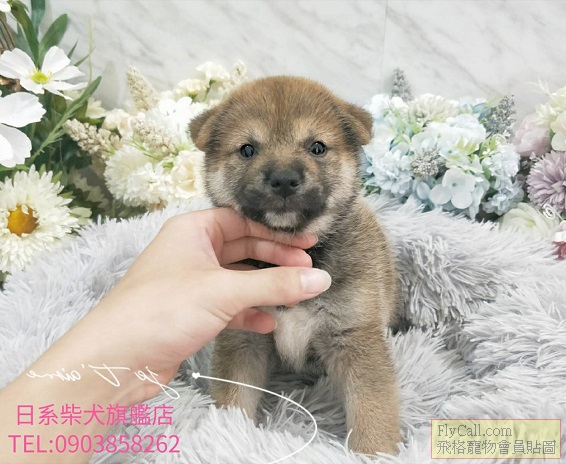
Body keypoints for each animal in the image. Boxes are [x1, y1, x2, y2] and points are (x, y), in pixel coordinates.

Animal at [189, 76, 400, 455]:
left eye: (317, 147)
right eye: (247, 150)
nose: (285, 178)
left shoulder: (355, 337)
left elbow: (372, 409)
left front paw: (374, 453)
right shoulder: (244, 339)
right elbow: (234, 399)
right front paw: (228, 435)